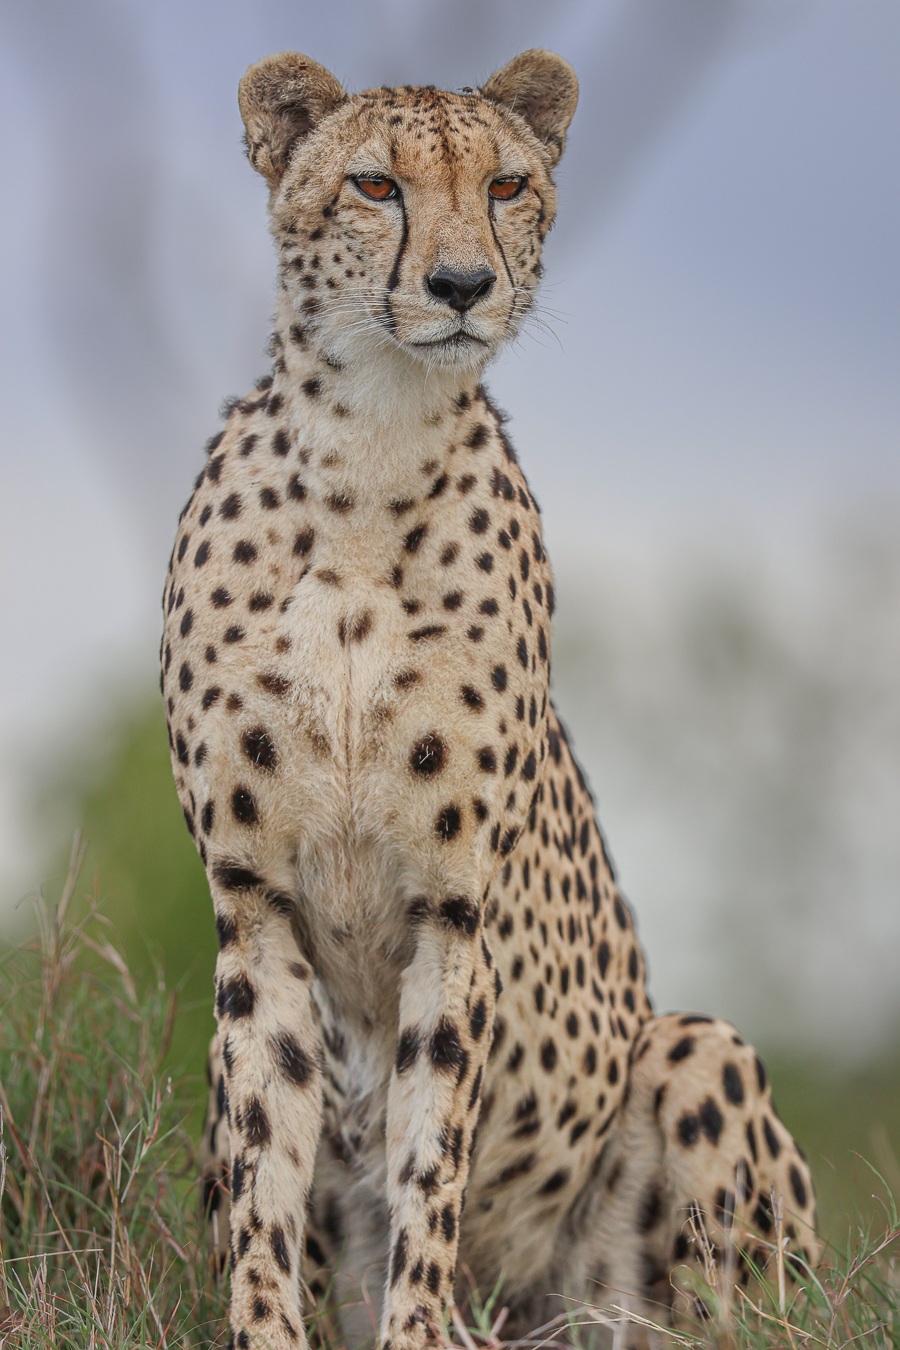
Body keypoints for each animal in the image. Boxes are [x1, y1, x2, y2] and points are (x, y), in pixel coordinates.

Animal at [160, 49, 819, 1350]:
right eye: (375, 184)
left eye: (507, 184)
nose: (462, 284)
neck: (367, 455)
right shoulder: (255, 911)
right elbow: (269, 1160)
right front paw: (265, 1326)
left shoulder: (450, 911)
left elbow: (432, 1153)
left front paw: (416, 1332)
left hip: (693, 1069)